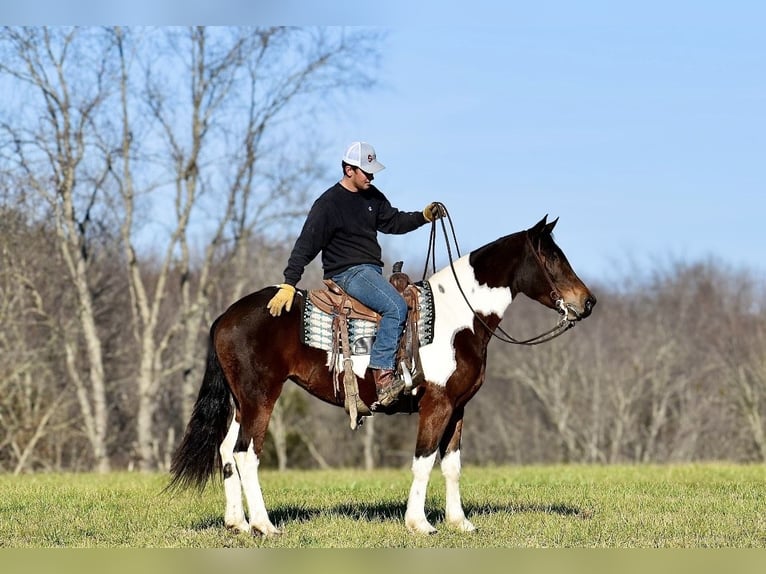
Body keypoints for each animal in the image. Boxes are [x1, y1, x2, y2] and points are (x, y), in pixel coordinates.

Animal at [170, 215, 600, 536]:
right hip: (260, 397)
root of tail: (226, 316)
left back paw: (238, 523)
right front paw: (420, 524)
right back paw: (264, 525)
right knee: (246, 453)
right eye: (553, 259)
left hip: (241, 403)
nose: (588, 302)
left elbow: (452, 465)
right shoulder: (436, 405)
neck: (458, 318)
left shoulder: (459, 408)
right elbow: (424, 460)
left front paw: (460, 523)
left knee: (226, 451)